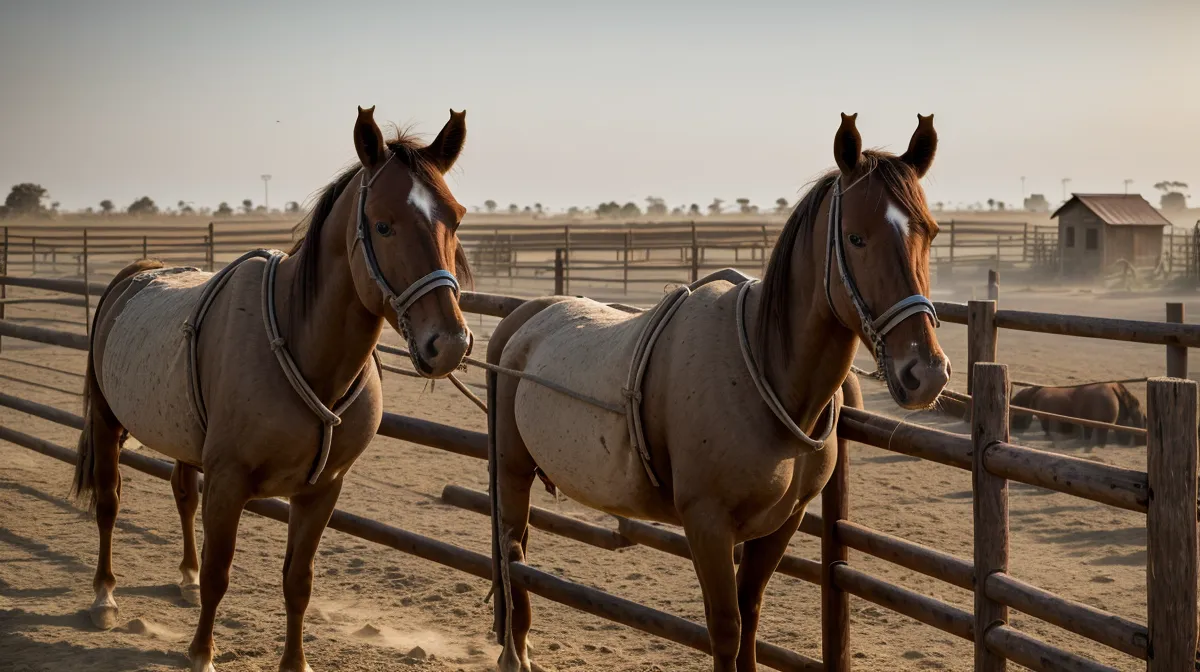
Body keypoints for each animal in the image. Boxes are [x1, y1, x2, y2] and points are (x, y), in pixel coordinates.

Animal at [71, 106, 473, 672]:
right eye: (383, 224)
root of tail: (133, 275)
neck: (302, 347)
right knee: (109, 503)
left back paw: (183, 579)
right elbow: (221, 572)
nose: (450, 343)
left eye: (455, 218)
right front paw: (201, 654)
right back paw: (104, 597)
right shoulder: (229, 481)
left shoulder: (322, 490)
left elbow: (297, 581)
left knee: (182, 496)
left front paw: (294, 662)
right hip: (107, 425)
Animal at [486, 113, 950, 672]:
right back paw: (515, 653)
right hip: (513, 471)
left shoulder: (781, 525)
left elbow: (749, 615)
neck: (767, 378)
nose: (925, 373)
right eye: (856, 238)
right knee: (512, 552)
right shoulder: (707, 525)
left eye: (930, 232)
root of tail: (524, 320)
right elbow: (726, 629)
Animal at [1011, 383, 1145, 449]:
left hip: (1103, 426)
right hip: (1117, 423)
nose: (1014, 427)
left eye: (1015, 413)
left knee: (1102, 437)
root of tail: (1112, 387)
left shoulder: (1045, 418)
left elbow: (1047, 429)